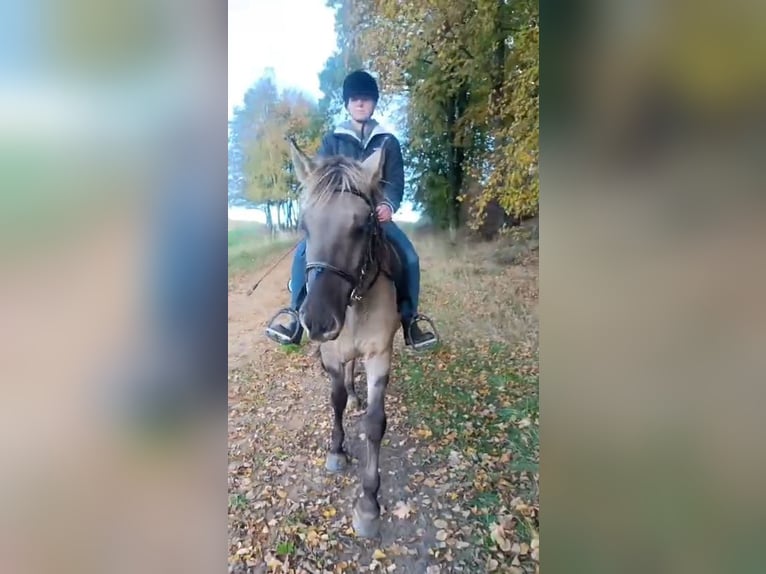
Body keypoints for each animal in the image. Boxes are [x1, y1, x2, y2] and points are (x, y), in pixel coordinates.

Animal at [288, 139, 401, 538]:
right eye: (303, 225)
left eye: (364, 224)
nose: (318, 321)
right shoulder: (331, 352)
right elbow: (335, 399)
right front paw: (337, 452)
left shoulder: (380, 354)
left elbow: (375, 422)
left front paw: (368, 504)